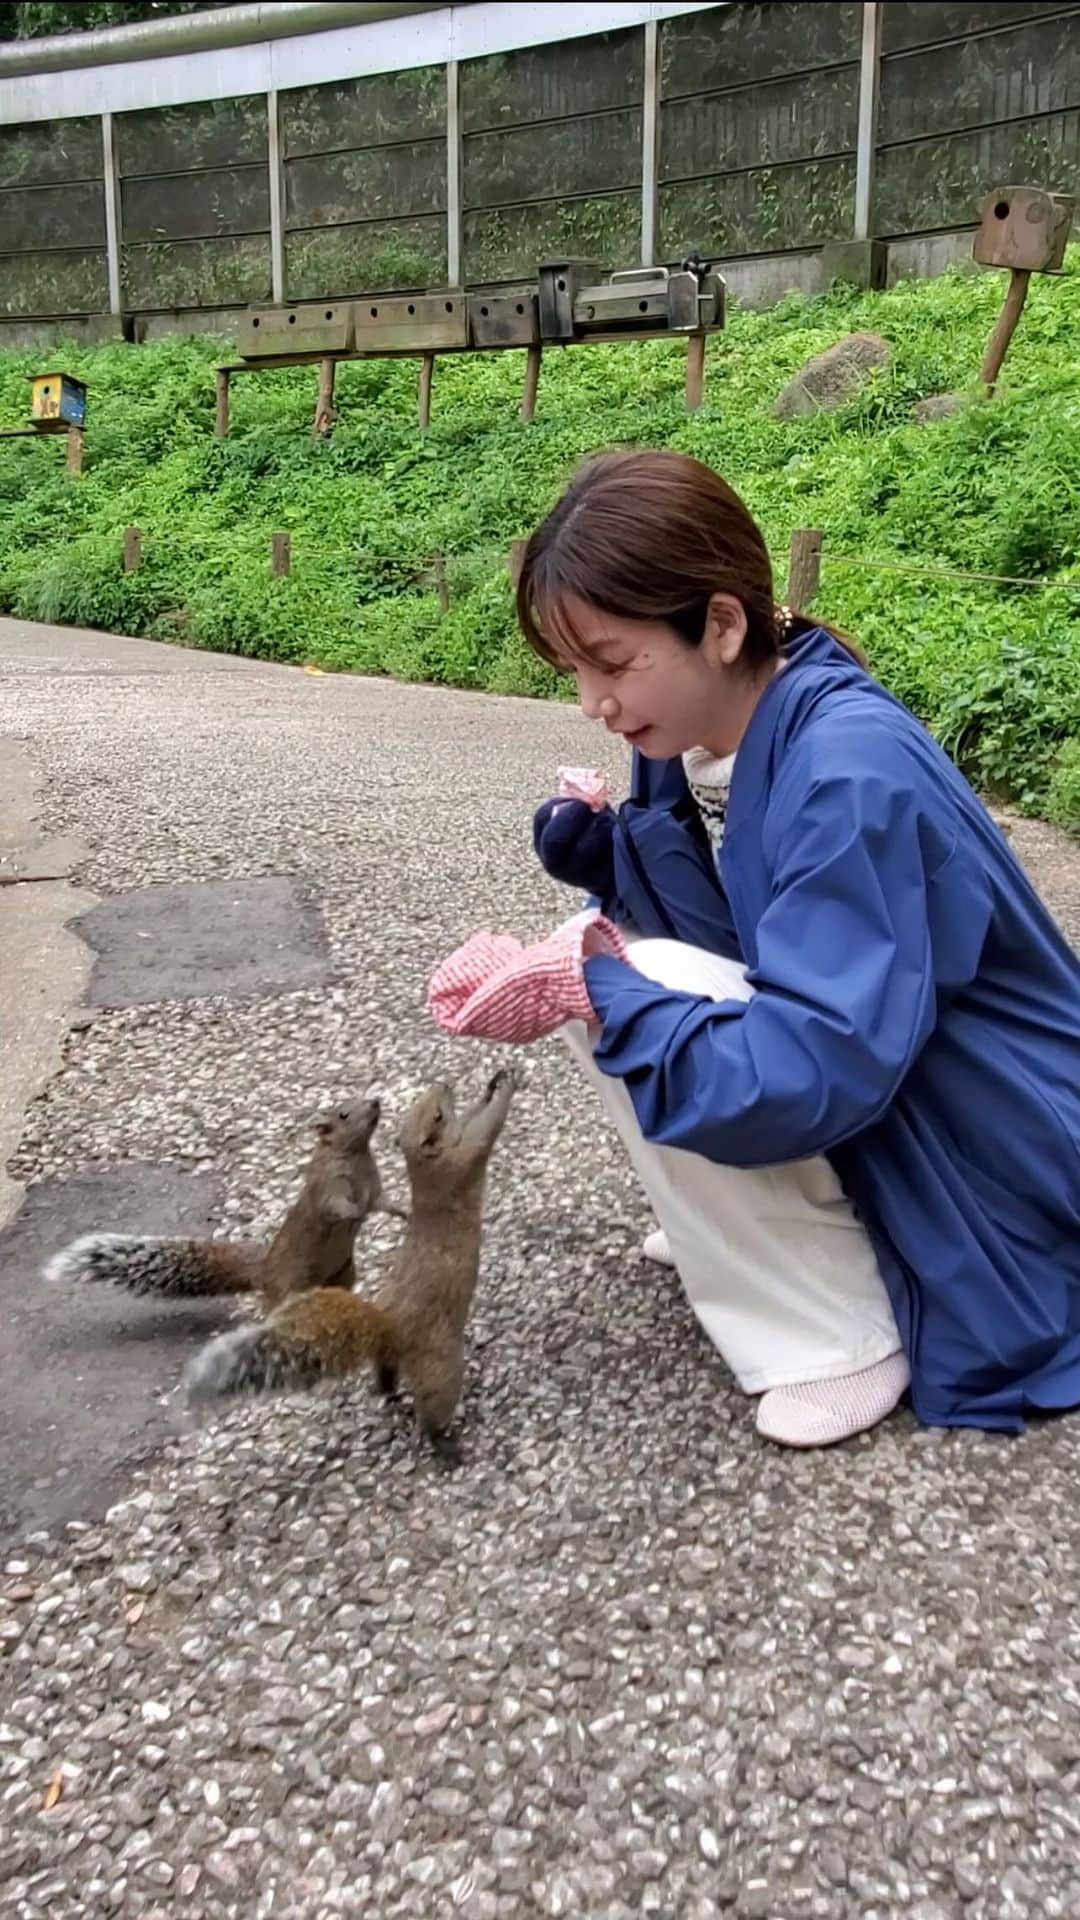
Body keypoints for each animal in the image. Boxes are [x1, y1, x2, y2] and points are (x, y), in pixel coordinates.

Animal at [42, 1105, 397, 1313]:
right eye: (344, 1115)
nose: (376, 1102)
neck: (356, 1156)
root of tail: (261, 1271)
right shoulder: (327, 1188)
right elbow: (336, 1208)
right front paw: (355, 1213)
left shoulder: (373, 1186)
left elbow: (381, 1201)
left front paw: (400, 1211)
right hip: (289, 1284)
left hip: (344, 1272)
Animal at [183, 1067, 518, 1451]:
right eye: (436, 1116)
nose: (444, 1086)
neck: (425, 1166)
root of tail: (387, 1326)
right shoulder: (460, 1162)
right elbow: (487, 1129)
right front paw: (505, 1089)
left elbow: (472, 1118)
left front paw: (490, 1086)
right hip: (441, 1364)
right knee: (432, 1406)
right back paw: (445, 1445)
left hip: (393, 1357)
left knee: (385, 1373)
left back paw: (387, 1393)